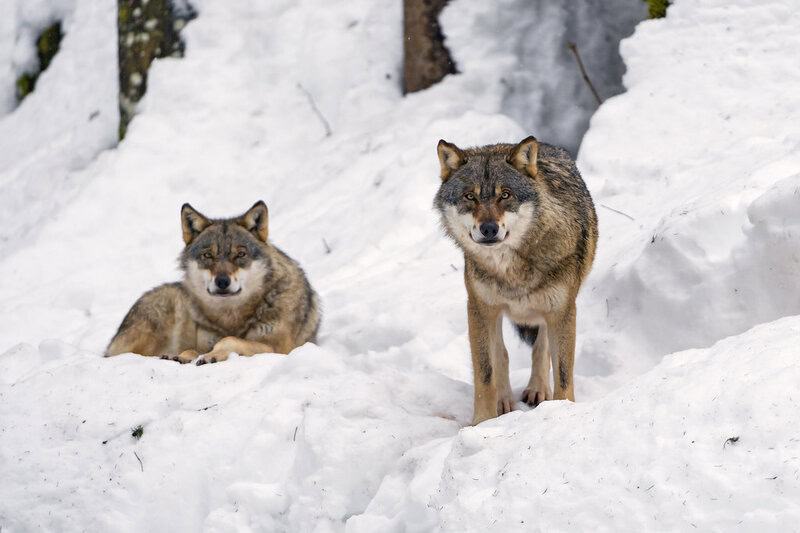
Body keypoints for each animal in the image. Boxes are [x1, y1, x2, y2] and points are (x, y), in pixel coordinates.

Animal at [105, 201, 320, 365]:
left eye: (240, 255)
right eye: (208, 256)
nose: (222, 281)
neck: (232, 318)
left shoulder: (279, 348)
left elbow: (229, 340)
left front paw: (212, 355)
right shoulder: (203, 341)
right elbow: (194, 349)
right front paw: (182, 356)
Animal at [434, 136, 597, 424]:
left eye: (505, 195)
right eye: (469, 196)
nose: (489, 228)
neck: (511, 270)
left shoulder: (563, 310)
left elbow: (562, 372)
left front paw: (563, 411)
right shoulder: (480, 309)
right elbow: (486, 372)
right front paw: (482, 423)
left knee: (541, 347)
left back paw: (537, 390)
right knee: (502, 355)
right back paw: (504, 401)